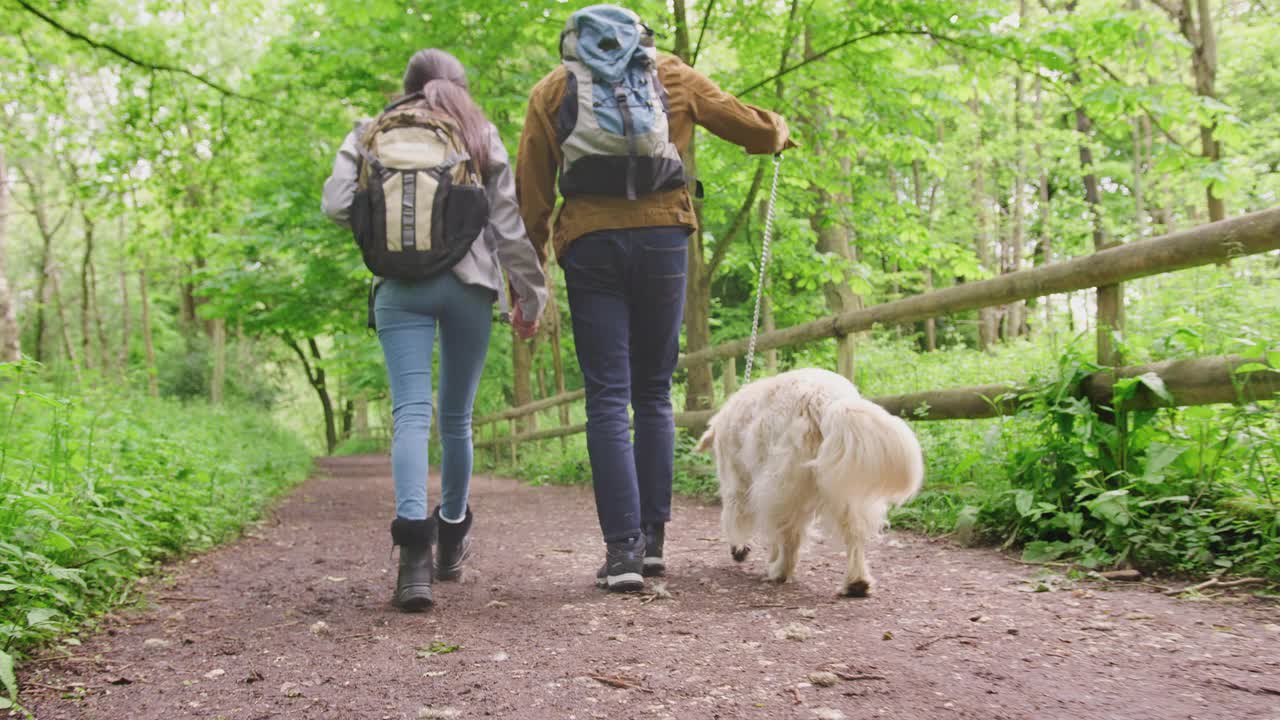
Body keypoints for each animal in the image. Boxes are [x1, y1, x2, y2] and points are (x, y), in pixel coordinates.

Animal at [701, 363, 921, 594]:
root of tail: (825, 399)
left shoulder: (736, 483)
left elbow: (734, 518)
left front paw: (739, 548)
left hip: (782, 485)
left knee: (789, 535)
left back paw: (780, 571)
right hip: (844, 485)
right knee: (854, 533)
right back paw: (857, 582)